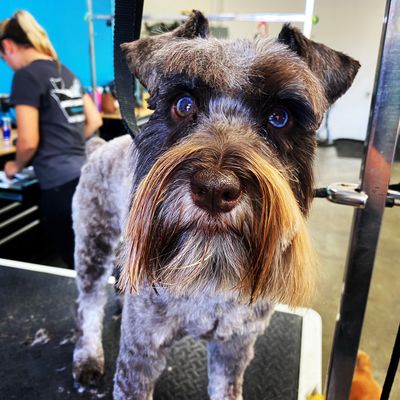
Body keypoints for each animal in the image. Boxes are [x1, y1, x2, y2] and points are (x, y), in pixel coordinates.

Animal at [71, 10, 360, 400]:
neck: (210, 267)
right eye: (183, 105)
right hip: (93, 244)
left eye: (280, 117)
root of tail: (100, 146)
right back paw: (88, 357)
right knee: (88, 305)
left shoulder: (234, 347)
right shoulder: (141, 349)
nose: (214, 189)